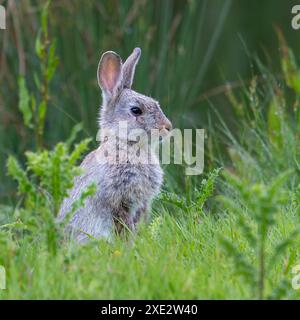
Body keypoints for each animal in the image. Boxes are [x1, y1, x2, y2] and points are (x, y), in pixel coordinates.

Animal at [58, 47, 171, 242]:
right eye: (136, 110)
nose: (168, 127)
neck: (125, 143)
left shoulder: (141, 204)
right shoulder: (118, 201)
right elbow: (123, 225)